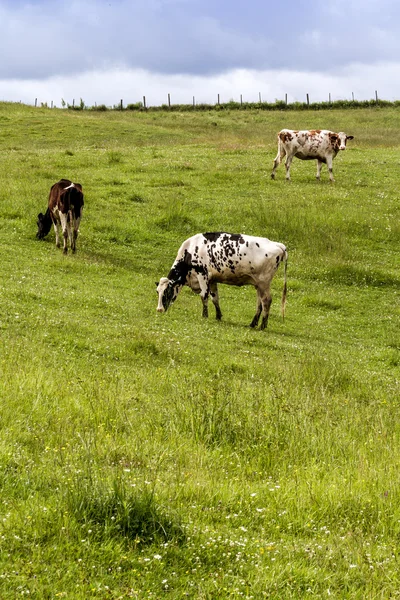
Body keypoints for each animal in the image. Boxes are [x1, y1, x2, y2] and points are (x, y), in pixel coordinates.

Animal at [155, 232, 288, 330]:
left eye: (167, 291)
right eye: (158, 292)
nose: (159, 310)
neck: (191, 250)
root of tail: (278, 244)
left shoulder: (202, 274)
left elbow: (204, 296)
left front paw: (205, 316)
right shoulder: (212, 279)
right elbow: (215, 298)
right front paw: (218, 316)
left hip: (264, 282)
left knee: (266, 300)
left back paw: (262, 326)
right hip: (258, 284)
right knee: (259, 303)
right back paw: (253, 324)